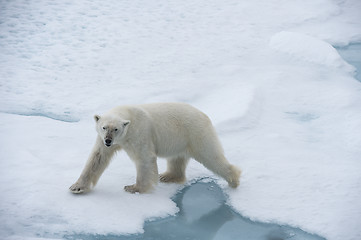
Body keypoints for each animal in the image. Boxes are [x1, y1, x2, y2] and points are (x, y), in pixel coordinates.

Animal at [69, 102, 240, 193]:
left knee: (211, 156)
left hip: (197, 134)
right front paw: (76, 187)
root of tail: (205, 115)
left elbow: (145, 158)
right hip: (180, 139)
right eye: (104, 127)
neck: (129, 115)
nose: (108, 141)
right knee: (177, 159)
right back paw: (168, 176)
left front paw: (134, 187)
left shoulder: (140, 133)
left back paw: (234, 179)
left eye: (116, 129)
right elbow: (97, 158)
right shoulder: (102, 140)